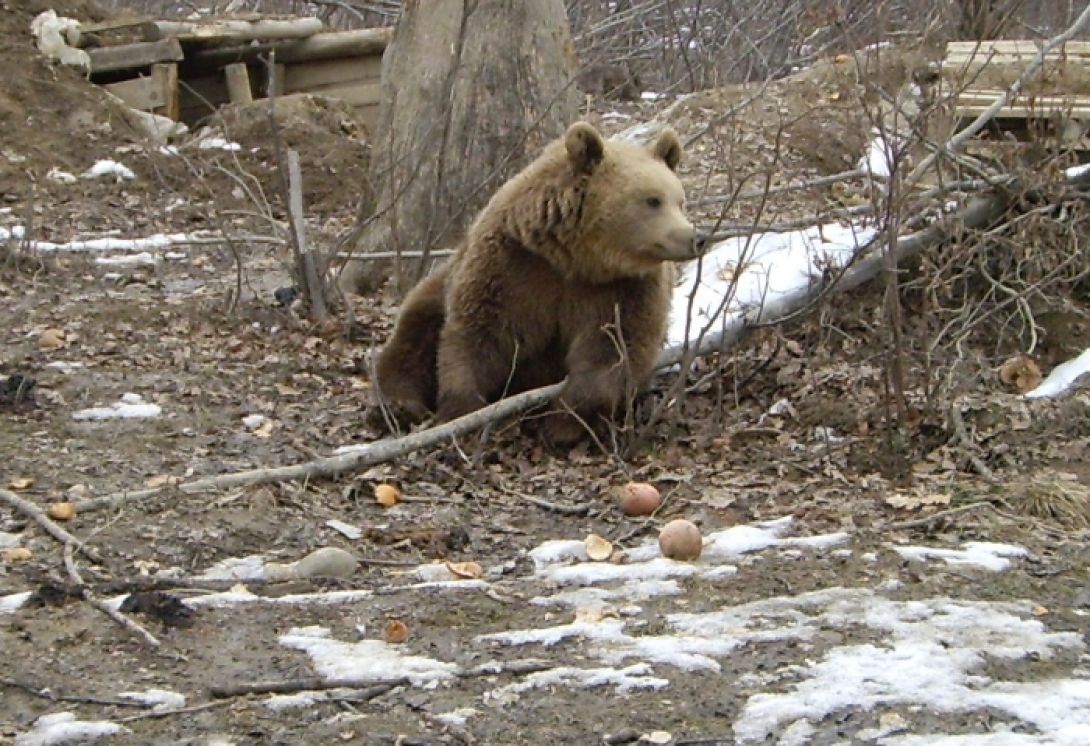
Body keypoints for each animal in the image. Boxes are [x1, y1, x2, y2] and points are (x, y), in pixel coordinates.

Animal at [370, 122, 701, 444]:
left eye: (680, 200)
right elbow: (481, 332)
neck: (577, 258)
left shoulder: (625, 288)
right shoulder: (515, 266)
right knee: (415, 330)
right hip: (441, 284)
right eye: (652, 200)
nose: (696, 236)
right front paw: (462, 409)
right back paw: (399, 406)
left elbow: (615, 349)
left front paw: (561, 425)